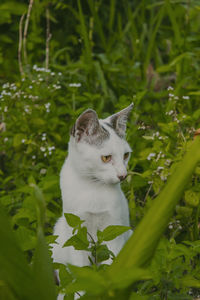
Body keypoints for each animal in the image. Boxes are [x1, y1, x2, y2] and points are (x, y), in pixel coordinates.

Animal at [51, 104, 133, 268]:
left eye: (126, 155)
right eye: (106, 158)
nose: (123, 175)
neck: (93, 186)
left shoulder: (114, 230)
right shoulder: (77, 233)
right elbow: (80, 268)